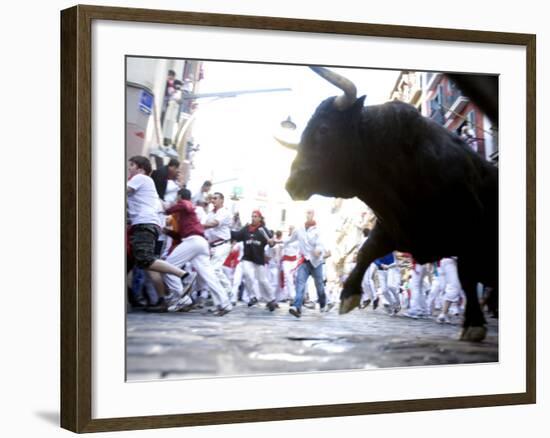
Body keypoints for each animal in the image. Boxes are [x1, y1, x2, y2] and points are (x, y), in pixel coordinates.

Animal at [284, 67, 500, 342]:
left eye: (323, 129)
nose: (291, 184)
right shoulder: (392, 227)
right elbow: (366, 251)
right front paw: (349, 295)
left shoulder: (469, 228)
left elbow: (466, 275)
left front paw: (473, 324)